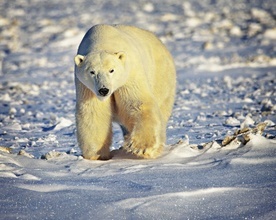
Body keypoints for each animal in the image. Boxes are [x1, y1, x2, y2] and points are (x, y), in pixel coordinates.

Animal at [74, 24, 176, 160]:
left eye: (111, 70)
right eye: (92, 72)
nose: (104, 90)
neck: (102, 40)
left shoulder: (129, 74)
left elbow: (138, 103)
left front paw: (141, 148)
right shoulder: (86, 87)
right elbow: (94, 112)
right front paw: (97, 154)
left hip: (161, 76)